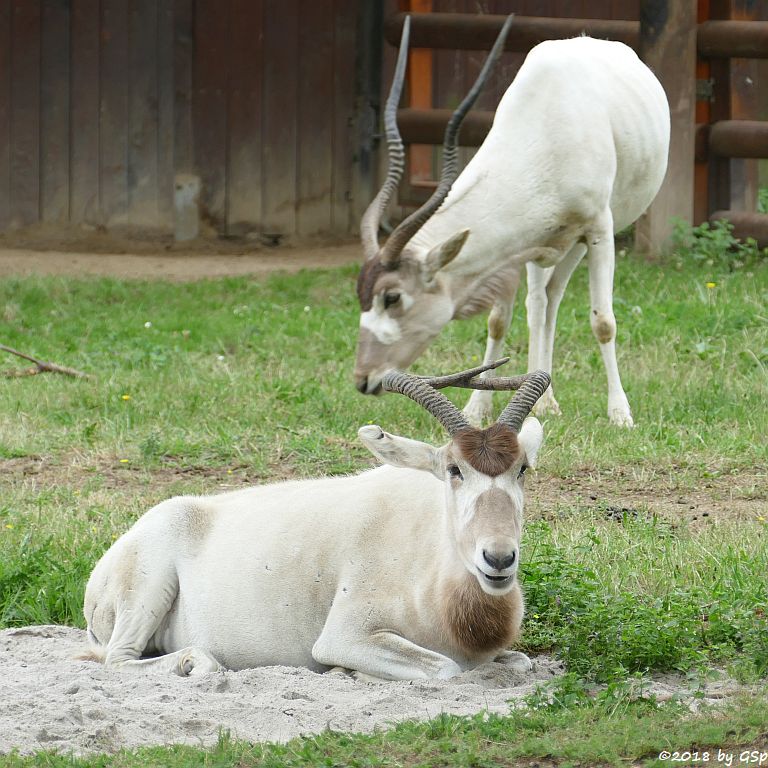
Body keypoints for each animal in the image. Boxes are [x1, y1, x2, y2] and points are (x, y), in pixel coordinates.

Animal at [84, 364, 548, 680]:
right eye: (454, 470)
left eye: (522, 469)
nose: (499, 558)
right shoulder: (345, 636)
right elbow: (447, 668)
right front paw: (351, 672)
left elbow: (520, 663)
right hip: (146, 592)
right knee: (119, 659)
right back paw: (193, 660)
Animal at [356, 16, 668, 426]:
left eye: (392, 296)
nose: (363, 379)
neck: (547, 124)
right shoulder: (511, 249)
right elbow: (498, 321)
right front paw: (477, 408)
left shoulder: (599, 232)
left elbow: (603, 322)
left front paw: (620, 414)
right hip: (543, 247)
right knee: (541, 304)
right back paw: (545, 398)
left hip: (574, 243)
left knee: (552, 300)